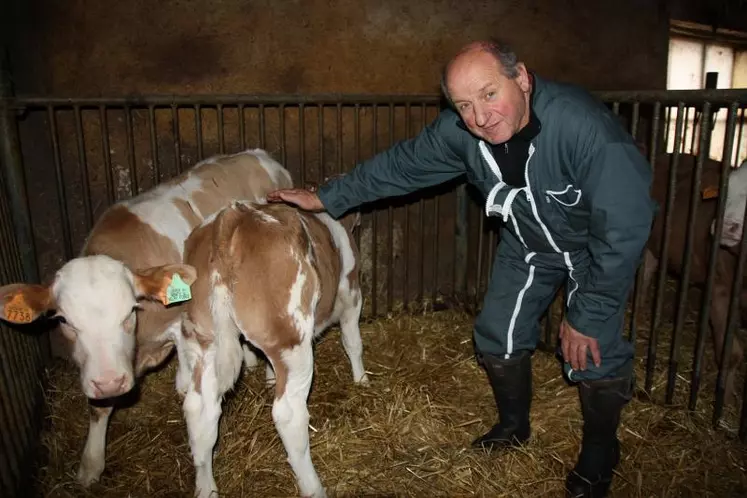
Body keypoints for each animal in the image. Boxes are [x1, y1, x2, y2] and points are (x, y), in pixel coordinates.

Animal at [1, 148, 294, 486]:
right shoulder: (104, 366)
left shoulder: (184, 326)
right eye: (63, 322)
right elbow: (99, 409)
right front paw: (90, 464)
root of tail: (256, 154)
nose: (110, 383)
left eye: (129, 311)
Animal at [179, 200, 372, 496]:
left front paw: (269, 379)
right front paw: (361, 380)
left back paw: (206, 488)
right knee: (288, 415)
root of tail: (233, 216)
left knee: (199, 409)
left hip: (203, 337)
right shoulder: (351, 293)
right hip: (291, 341)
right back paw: (313, 487)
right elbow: (353, 341)